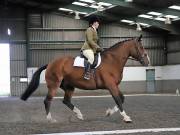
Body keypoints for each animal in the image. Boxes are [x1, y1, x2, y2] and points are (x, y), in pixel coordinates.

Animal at [20, 34, 150, 123]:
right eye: (140, 47)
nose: (147, 61)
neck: (113, 60)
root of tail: (50, 63)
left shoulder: (114, 85)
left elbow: (122, 99)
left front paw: (108, 112)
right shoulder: (111, 85)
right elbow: (118, 99)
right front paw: (126, 117)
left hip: (69, 86)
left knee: (66, 101)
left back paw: (79, 115)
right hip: (54, 85)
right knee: (48, 100)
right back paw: (50, 119)